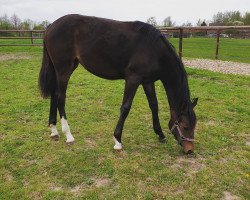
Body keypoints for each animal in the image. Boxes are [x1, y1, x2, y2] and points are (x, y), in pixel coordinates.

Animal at [38, 14, 198, 153]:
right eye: (185, 126)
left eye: (194, 125)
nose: (189, 150)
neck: (154, 49)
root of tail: (50, 26)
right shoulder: (133, 78)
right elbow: (125, 107)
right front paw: (117, 141)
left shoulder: (147, 81)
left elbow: (154, 105)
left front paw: (160, 134)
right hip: (64, 69)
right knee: (61, 97)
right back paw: (68, 135)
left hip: (61, 69)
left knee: (54, 94)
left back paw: (54, 130)